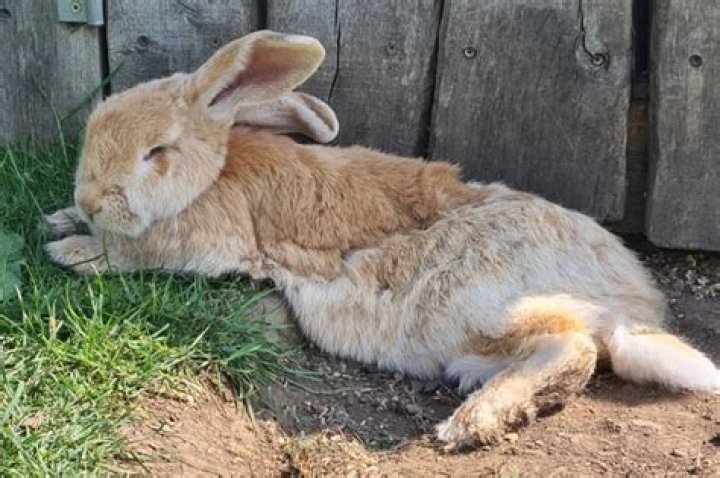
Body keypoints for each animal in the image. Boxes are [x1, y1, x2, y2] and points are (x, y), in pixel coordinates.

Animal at [44, 30, 485, 281]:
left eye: (156, 151)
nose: (89, 202)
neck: (205, 187)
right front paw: (57, 220)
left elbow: (119, 253)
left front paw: (67, 251)